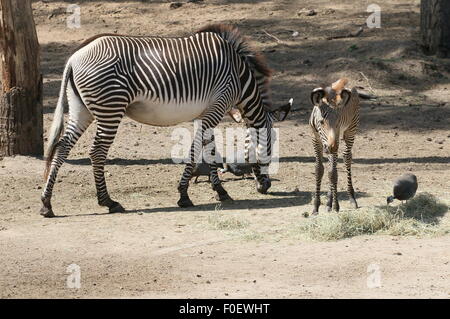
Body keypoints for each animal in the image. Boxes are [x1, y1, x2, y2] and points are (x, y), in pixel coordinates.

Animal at [40, 24, 290, 218]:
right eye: (271, 144)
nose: (265, 187)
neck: (239, 76)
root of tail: (74, 57)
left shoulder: (207, 112)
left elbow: (209, 150)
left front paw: (220, 192)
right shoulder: (216, 108)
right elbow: (197, 150)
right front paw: (184, 195)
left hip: (81, 109)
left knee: (62, 147)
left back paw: (46, 204)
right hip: (110, 108)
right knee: (97, 152)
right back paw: (108, 202)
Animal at [310, 79, 358, 215]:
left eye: (337, 123)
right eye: (321, 122)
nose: (331, 147)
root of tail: (345, 78)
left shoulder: (335, 140)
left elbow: (333, 174)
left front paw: (336, 206)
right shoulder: (316, 139)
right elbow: (319, 170)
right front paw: (316, 206)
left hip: (351, 128)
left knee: (347, 157)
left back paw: (351, 198)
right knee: (331, 164)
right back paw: (329, 201)